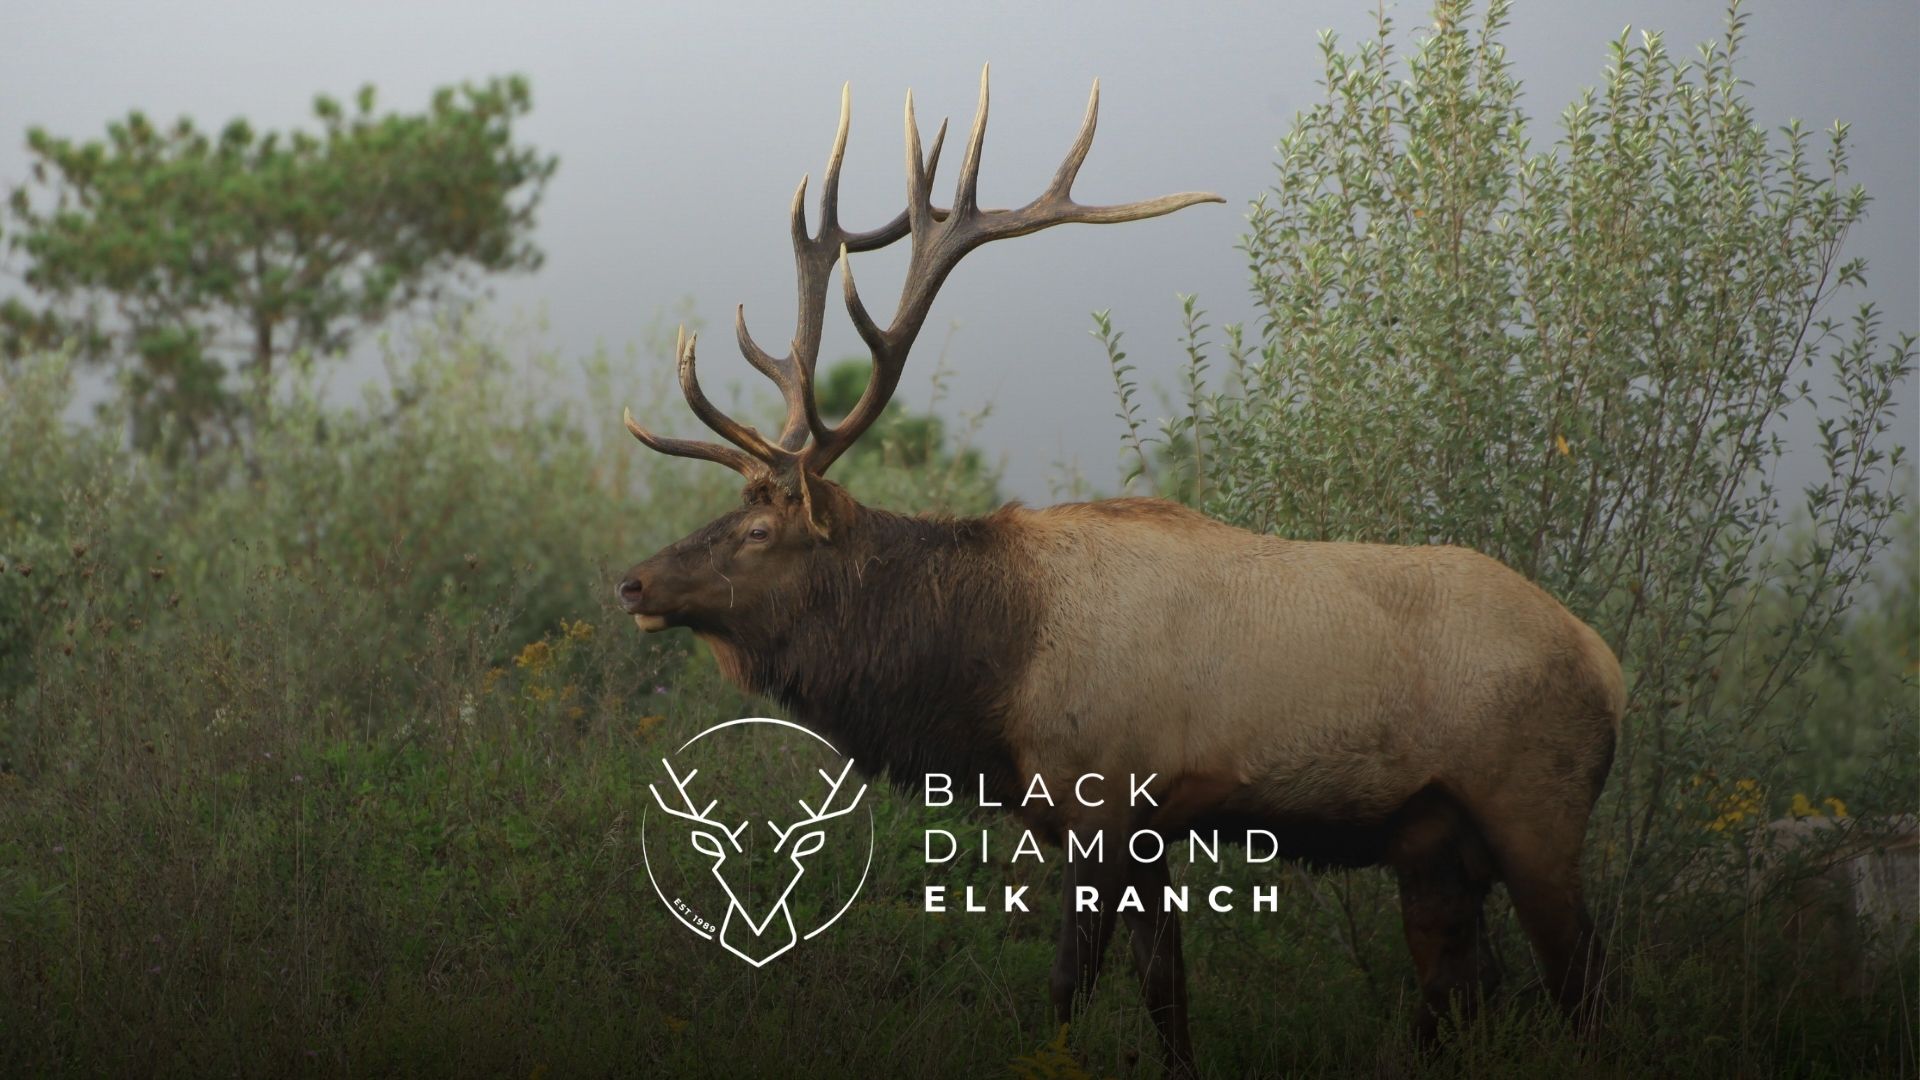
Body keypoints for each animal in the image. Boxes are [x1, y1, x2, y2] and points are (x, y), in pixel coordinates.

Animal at [616, 67, 1623, 1075]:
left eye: (759, 529)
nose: (633, 582)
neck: (991, 674)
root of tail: (1609, 668)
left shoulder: (1103, 801)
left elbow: (1083, 982)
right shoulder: (1127, 826)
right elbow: (1157, 985)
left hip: (1534, 809)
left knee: (1582, 986)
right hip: (1434, 842)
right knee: (1459, 987)